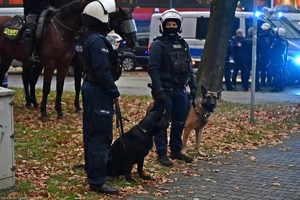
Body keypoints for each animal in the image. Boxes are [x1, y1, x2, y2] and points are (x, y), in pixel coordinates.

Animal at [0, 0, 137, 119]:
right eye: (123, 21)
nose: (133, 42)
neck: (62, 32)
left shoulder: (65, 64)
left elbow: (62, 87)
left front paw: (60, 111)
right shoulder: (53, 64)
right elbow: (47, 87)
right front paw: (44, 113)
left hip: (18, 60)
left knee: (29, 80)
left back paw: (33, 102)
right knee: (25, 79)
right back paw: (30, 102)